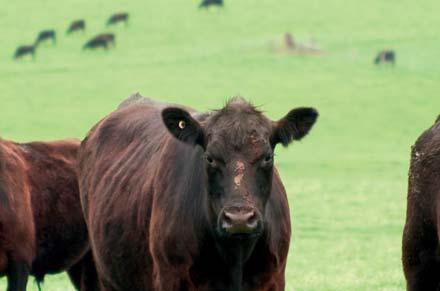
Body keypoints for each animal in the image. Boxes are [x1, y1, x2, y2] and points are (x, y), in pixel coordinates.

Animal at [79, 96, 318, 291]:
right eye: (210, 158)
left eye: (267, 157)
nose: (239, 219)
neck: (235, 257)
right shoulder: (171, 278)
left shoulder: (273, 278)